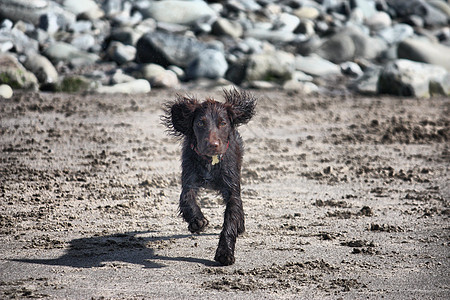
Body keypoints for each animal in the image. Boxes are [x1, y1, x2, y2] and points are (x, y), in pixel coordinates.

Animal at [163, 88, 256, 264]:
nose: (213, 145)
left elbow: (231, 215)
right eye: (200, 123)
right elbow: (186, 198)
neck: (210, 161)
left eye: (223, 123)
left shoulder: (231, 187)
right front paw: (197, 220)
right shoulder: (189, 179)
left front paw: (225, 252)